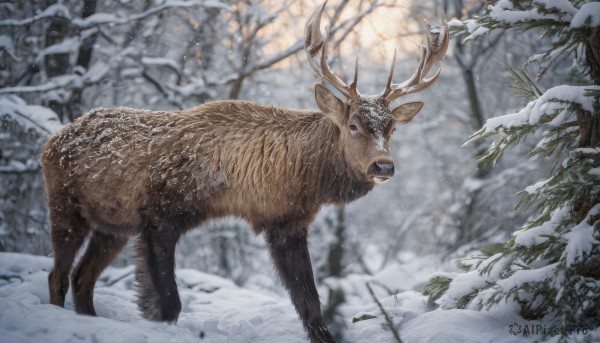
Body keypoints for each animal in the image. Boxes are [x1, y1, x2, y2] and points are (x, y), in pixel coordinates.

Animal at [41, 1, 446, 342]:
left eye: (391, 128)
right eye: (353, 126)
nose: (384, 165)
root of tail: (52, 140)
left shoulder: (287, 224)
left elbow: (311, 306)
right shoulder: (159, 216)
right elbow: (168, 304)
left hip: (112, 227)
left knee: (82, 279)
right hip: (65, 209)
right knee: (58, 276)